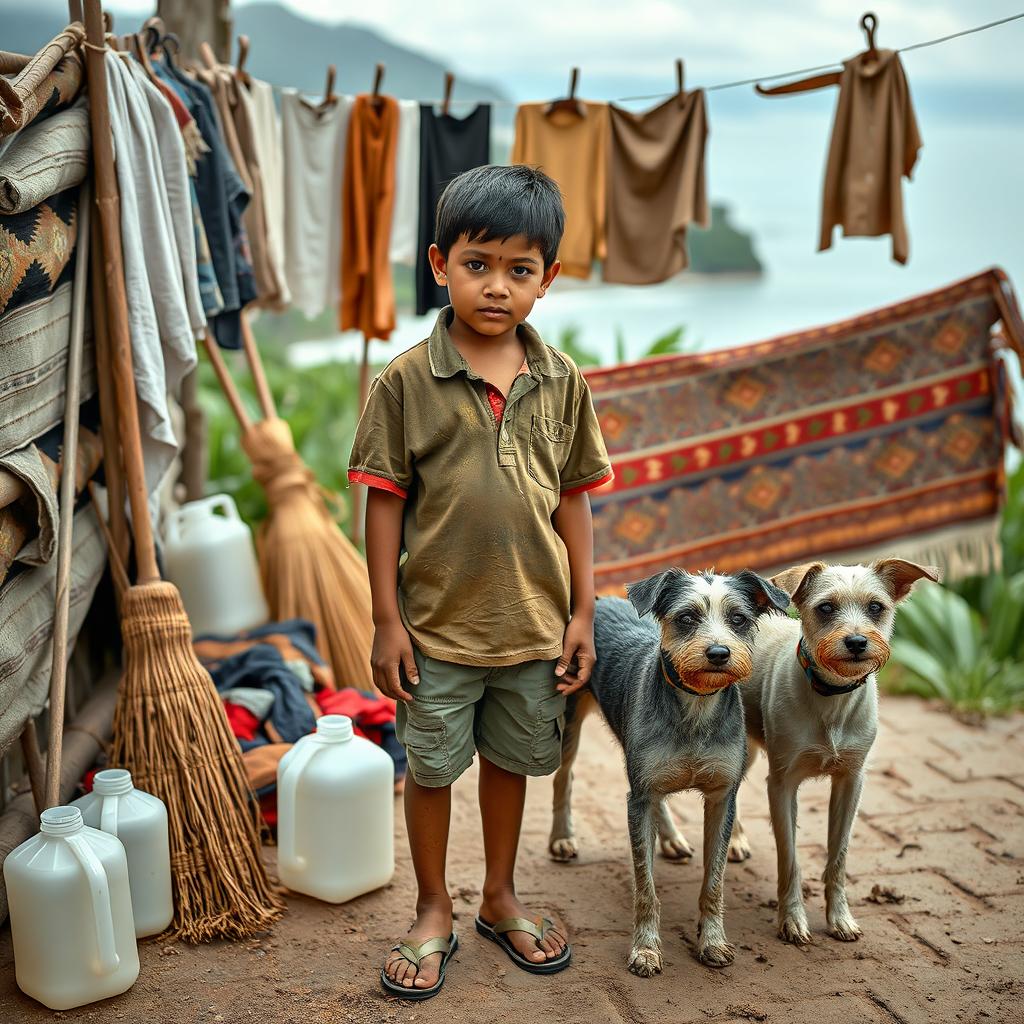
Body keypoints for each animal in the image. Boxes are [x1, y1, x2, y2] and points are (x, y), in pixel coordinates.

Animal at [548, 569, 786, 974]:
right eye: (687, 617)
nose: (719, 653)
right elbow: (645, 886)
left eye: (739, 619)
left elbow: (714, 883)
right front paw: (645, 949)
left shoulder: (721, 797)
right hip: (570, 720)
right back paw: (562, 837)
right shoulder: (639, 797)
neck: (696, 706)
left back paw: (672, 839)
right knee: (564, 778)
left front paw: (713, 942)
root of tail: (599, 599)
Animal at [733, 561, 937, 942]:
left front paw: (839, 917)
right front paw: (791, 918)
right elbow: (790, 859)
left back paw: (734, 839)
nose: (856, 642)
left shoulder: (851, 781)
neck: (831, 696)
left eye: (876, 607)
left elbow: (838, 857)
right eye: (826, 608)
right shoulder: (782, 784)